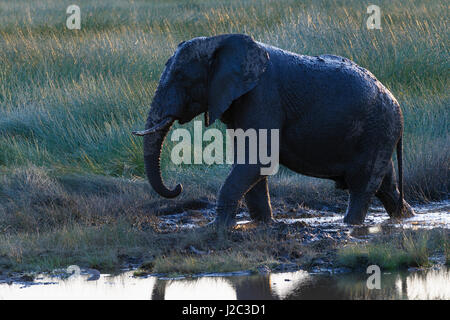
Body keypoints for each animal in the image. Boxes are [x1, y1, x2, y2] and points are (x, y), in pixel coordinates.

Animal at [131, 33, 414, 228]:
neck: (218, 41)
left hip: (378, 130)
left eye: (181, 77)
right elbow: (252, 162)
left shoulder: (262, 96)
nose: (178, 186)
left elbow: (256, 159)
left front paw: (217, 228)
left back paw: (350, 225)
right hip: (379, 134)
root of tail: (396, 103)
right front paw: (262, 225)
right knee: (387, 186)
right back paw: (405, 218)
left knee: (362, 185)